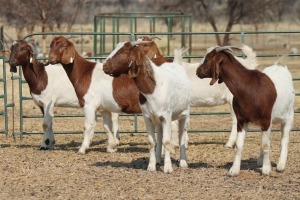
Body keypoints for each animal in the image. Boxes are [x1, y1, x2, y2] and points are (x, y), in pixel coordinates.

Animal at [104, 41, 191, 173]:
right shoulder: (148, 116)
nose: (104, 66)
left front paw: (168, 168)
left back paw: (183, 162)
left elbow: (167, 142)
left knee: (182, 136)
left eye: (124, 52)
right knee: (159, 135)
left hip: (184, 114)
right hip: (158, 119)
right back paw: (159, 159)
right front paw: (151, 166)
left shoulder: (167, 117)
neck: (153, 88)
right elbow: (151, 142)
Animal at [196, 47, 294, 177]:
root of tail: (279, 66)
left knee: (284, 139)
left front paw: (266, 169)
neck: (250, 89)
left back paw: (281, 165)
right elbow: (240, 145)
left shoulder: (266, 120)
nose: (197, 71)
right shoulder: (242, 120)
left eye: (207, 59)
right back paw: (260, 160)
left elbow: (266, 145)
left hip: (288, 116)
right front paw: (234, 170)